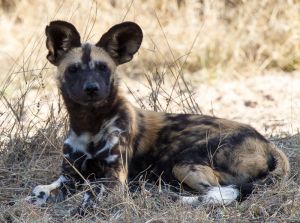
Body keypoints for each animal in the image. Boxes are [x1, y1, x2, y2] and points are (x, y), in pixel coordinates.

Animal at [29, 20, 290, 214]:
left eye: (103, 68)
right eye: (74, 69)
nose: (92, 88)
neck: (90, 124)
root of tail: (267, 142)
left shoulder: (113, 179)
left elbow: (92, 195)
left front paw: (86, 207)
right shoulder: (70, 175)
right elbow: (40, 191)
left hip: (184, 165)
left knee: (219, 192)